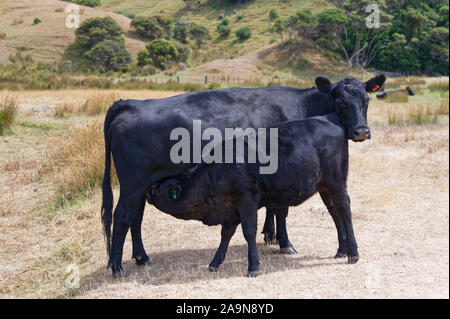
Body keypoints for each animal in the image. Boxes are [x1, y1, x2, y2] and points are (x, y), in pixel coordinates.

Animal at [149, 113, 364, 278]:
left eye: (162, 190)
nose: (148, 190)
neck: (218, 168)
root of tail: (329, 117)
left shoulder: (246, 200)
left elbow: (249, 232)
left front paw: (253, 266)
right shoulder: (230, 207)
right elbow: (226, 234)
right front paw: (215, 262)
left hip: (336, 183)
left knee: (345, 210)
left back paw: (353, 253)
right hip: (325, 187)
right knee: (335, 213)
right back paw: (341, 250)